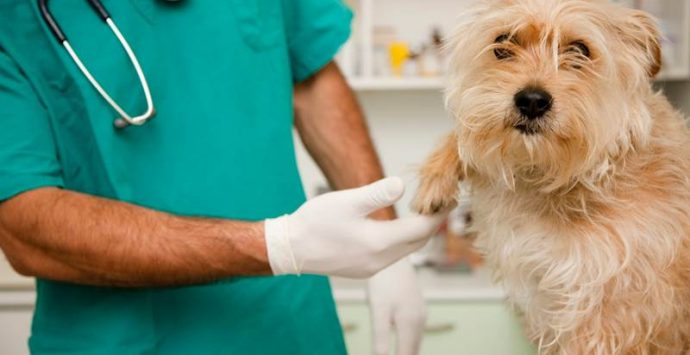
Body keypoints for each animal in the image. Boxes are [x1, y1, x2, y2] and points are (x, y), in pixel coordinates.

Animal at [412, 1, 688, 354]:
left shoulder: (610, 313)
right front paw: (435, 178)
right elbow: (468, 137)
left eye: (580, 50)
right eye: (504, 42)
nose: (531, 100)